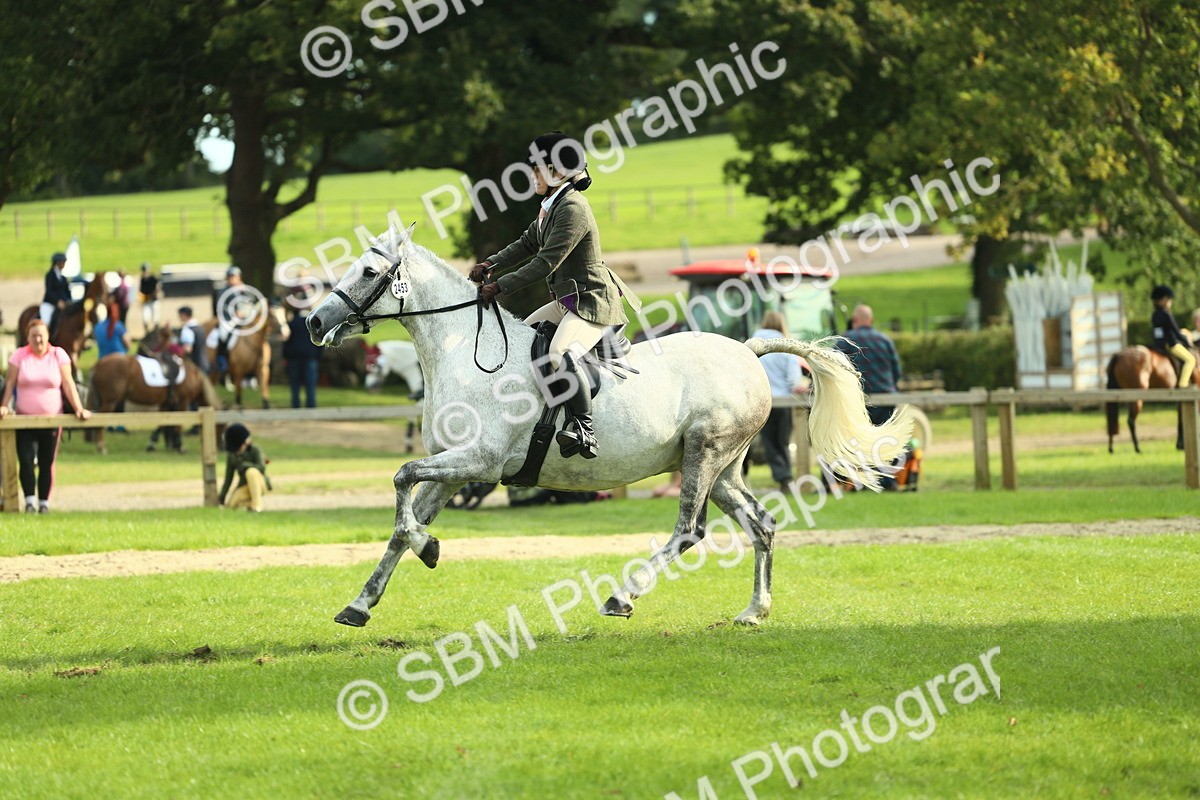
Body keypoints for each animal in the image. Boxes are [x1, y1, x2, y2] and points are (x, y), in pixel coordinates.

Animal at [87, 353, 222, 454]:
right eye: (221, 426)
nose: (221, 446)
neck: (193, 377)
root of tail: (99, 364)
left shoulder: (165, 404)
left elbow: (162, 425)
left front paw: (152, 444)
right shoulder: (183, 402)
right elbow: (177, 426)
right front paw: (180, 447)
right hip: (109, 402)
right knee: (99, 422)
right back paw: (101, 447)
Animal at [305, 226, 913, 630]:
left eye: (367, 271)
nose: (313, 322)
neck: (462, 350)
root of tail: (747, 349)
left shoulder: (477, 462)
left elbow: (402, 477)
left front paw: (427, 548)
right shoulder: (454, 470)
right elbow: (401, 519)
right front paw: (362, 601)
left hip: (704, 453)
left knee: (689, 531)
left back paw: (623, 597)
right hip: (723, 469)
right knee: (760, 525)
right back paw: (754, 611)